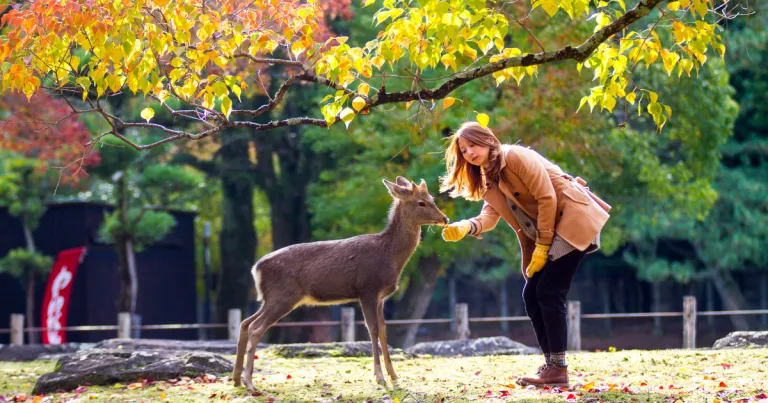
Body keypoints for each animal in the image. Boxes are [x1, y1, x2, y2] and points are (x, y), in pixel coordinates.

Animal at [231, 176, 452, 392]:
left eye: (432, 198)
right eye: (421, 202)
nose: (445, 219)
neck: (389, 256)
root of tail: (256, 268)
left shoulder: (381, 297)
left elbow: (382, 329)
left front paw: (395, 378)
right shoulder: (367, 289)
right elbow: (372, 329)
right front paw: (380, 378)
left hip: (270, 298)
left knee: (245, 323)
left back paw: (236, 380)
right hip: (283, 295)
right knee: (256, 328)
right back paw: (249, 383)